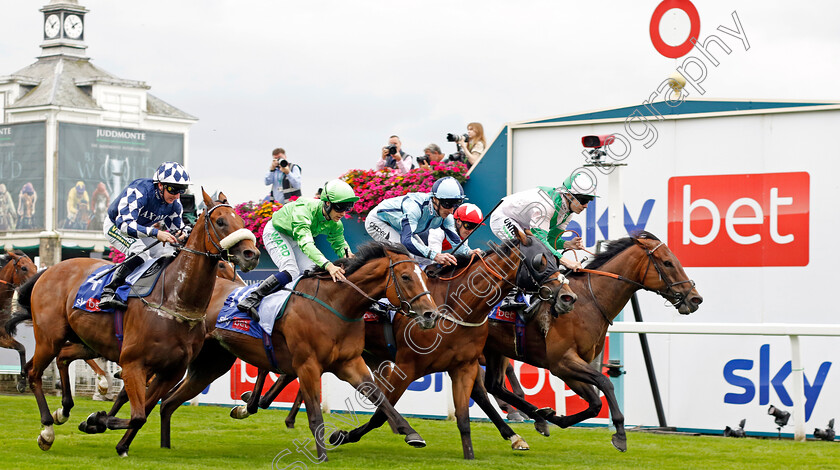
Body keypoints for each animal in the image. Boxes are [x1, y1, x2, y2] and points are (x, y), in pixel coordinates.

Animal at [5, 189, 260, 458]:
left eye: (240, 220)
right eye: (221, 221)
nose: (251, 255)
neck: (175, 299)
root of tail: (49, 270)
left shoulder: (171, 371)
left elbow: (143, 412)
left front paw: (115, 439)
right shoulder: (133, 364)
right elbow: (138, 415)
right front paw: (96, 421)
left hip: (87, 341)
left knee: (63, 358)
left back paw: (63, 411)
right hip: (49, 337)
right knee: (34, 373)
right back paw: (47, 430)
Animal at [480, 231, 704, 452]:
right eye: (667, 263)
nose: (695, 299)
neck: (589, 300)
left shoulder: (570, 366)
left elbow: (595, 403)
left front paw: (552, 416)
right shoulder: (562, 362)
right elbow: (605, 382)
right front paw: (620, 434)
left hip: (494, 350)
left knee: (493, 386)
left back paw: (528, 422)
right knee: (483, 390)